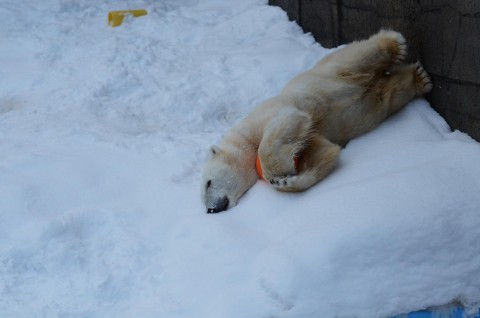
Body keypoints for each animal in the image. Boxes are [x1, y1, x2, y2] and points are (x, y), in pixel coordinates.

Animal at [201, 30, 434, 214]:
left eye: (208, 183)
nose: (211, 209)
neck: (243, 139)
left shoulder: (267, 116)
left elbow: (284, 124)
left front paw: (279, 171)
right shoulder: (313, 136)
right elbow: (325, 153)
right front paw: (286, 181)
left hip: (328, 73)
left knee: (354, 57)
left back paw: (394, 44)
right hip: (373, 102)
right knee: (389, 94)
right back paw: (417, 78)